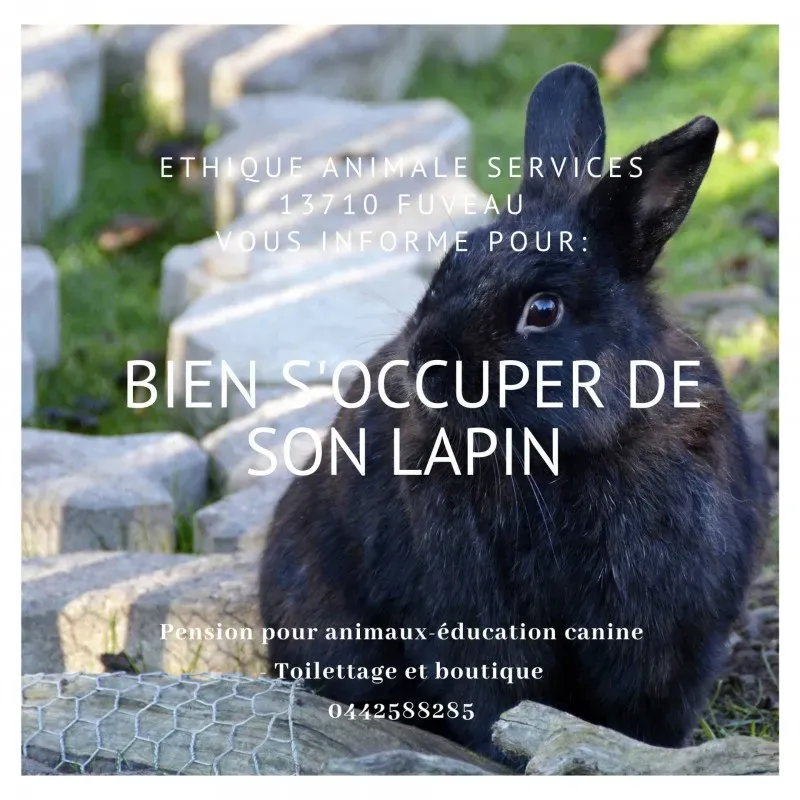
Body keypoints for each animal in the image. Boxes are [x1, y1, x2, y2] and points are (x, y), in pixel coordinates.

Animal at [259, 63, 771, 766]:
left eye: (543, 311)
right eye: (452, 260)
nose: (425, 362)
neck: (561, 457)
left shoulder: (670, 626)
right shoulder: (469, 616)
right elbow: (493, 696)